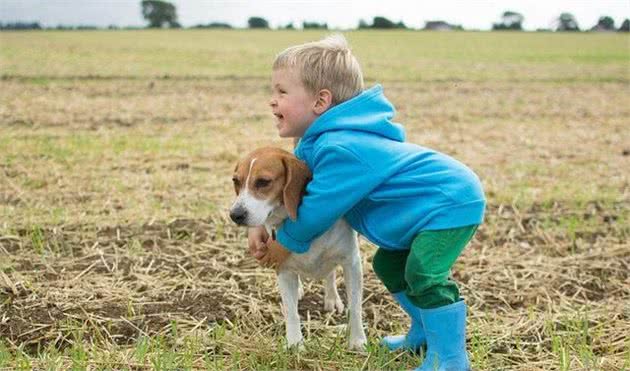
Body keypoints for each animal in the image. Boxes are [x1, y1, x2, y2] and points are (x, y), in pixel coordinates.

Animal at [230, 147, 368, 350]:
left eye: (263, 182)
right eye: (236, 181)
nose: (235, 215)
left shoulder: (352, 263)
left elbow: (356, 306)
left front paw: (357, 341)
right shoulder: (284, 270)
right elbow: (291, 312)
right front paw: (295, 344)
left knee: (330, 274)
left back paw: (332, 297)